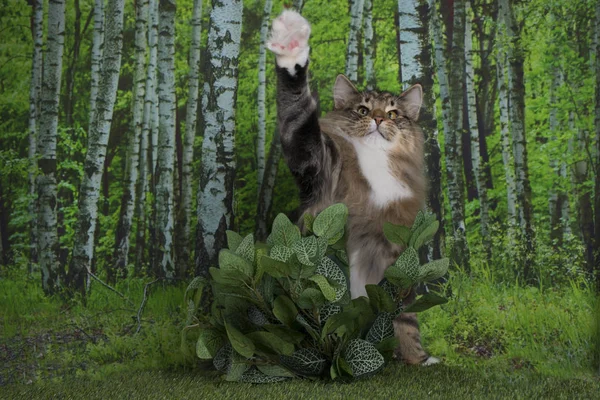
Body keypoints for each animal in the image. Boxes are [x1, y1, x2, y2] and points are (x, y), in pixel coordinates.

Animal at [268, 9, 440, 366]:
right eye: (362, 109)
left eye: (393, 113)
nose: (378, 119)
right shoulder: (315, 161)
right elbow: (298, 110)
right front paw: (292, 47)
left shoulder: (397, 251)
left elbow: (406, 319)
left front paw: (418, 358)